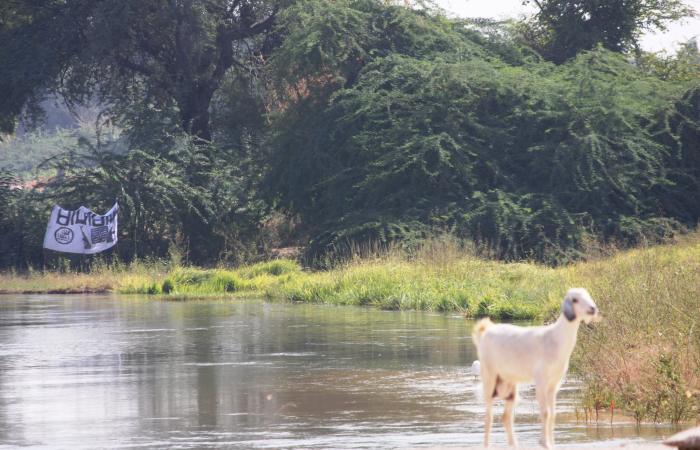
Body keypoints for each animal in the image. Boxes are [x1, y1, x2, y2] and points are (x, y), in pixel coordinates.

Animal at [474, 286, 600, 448]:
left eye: (588, 295)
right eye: (574, 299)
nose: (593, 309)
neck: (555, 338)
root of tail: (485, 332)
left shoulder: (554, 384)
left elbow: (552, 414)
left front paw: (551, 443)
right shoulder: (540, 381)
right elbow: (545, 412)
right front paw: (544, 443)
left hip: (510, 384)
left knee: (506, 416)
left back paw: (514, 445)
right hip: (489, 376)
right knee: (488, 416)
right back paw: (487, 445)